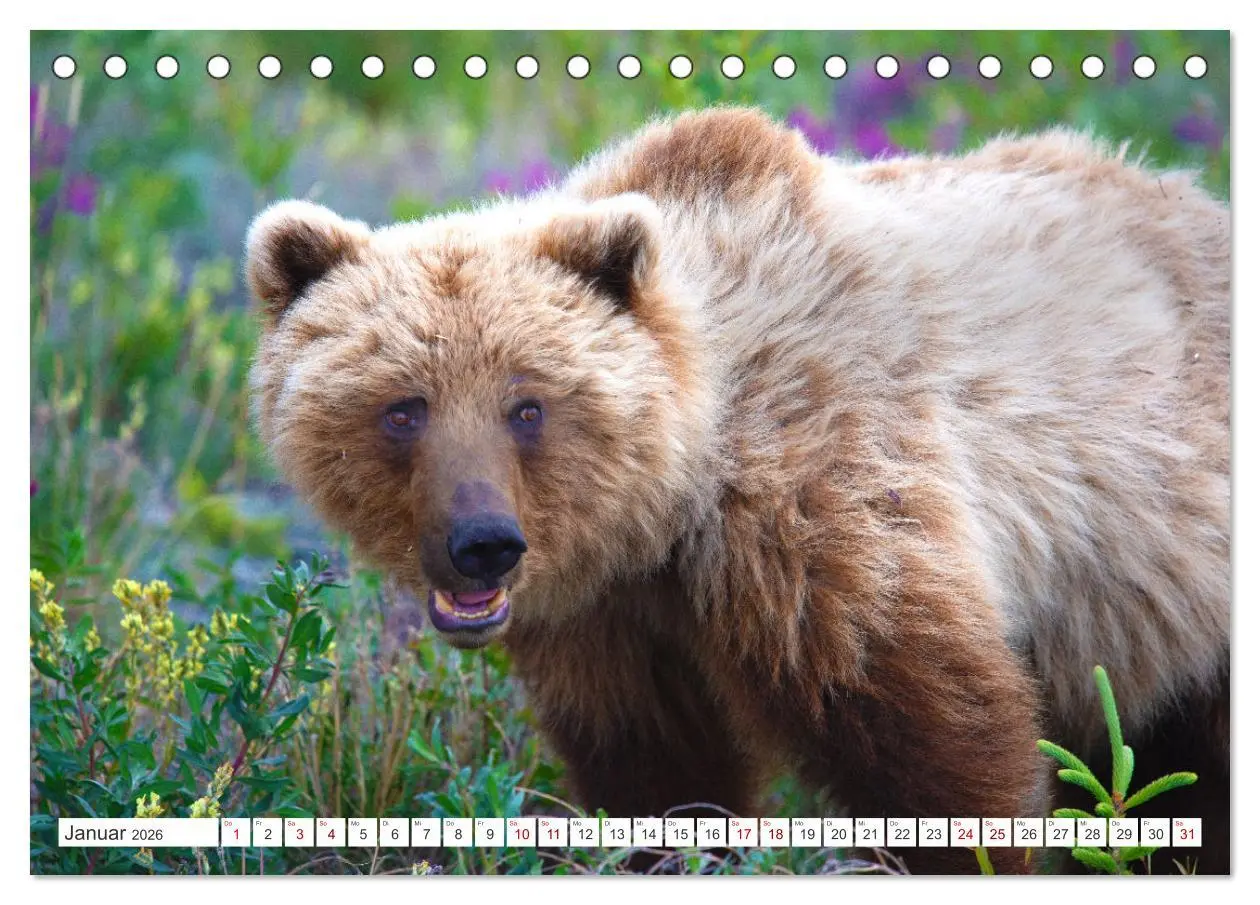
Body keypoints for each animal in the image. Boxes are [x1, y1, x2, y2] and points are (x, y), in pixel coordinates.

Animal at [245, 108, 1230, 875]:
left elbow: (933, 743)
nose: (482, 541)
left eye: (527, 403)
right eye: (403, 406)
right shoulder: (611, 618)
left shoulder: (823, 520)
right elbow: (661, 776)